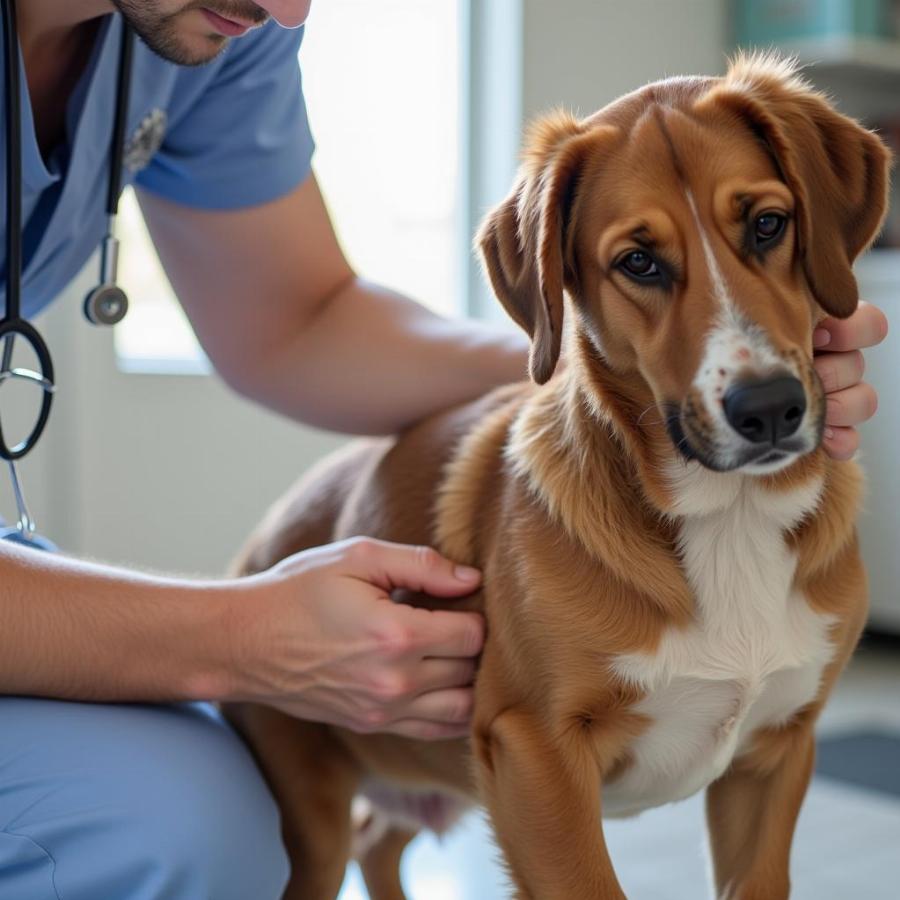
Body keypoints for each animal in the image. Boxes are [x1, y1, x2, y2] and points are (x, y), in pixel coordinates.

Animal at [223, 56, 884, 900]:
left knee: (378, 841)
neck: (728, 518)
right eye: (639, 261)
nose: (767, 409)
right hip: (311, 825)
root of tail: (254, 555)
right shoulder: (535, 755)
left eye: (767, 225)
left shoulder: (775, 755)